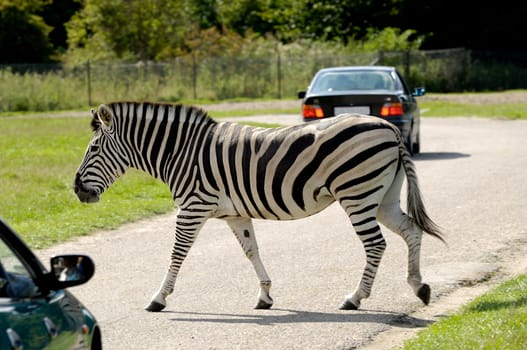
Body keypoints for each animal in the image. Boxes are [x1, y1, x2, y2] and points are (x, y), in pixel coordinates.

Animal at [73, 101, 446, 312]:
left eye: (93, 148)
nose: (77, 190)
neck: (180, 152)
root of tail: (389, 127)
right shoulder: (234, 214)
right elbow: (251, 251)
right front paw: (265, 296)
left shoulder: (192, 208)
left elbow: (177, 254)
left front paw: (158, 298)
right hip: (383, 197)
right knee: (411, 231)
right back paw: (419, 287)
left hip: (357, 193)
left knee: (376, 244)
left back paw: (355, 298)